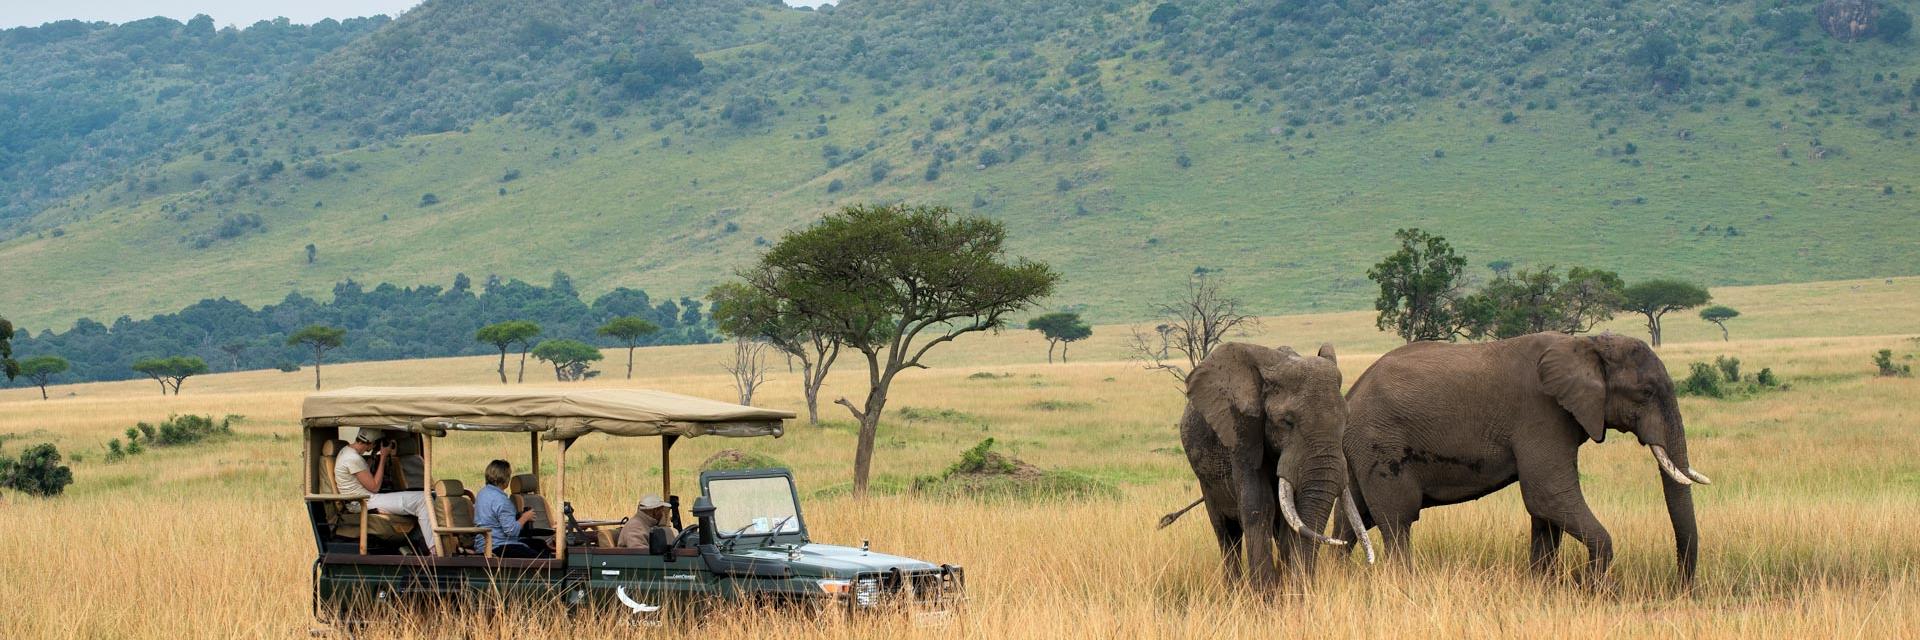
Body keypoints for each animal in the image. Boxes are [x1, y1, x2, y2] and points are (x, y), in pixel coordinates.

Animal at [1152, 342, 1382, 584]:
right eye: (1287, 422)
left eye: (1346, 420)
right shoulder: (1242, 431)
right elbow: (1258, 504)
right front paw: (1266, 593)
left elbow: (1291, 515)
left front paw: (1287, 589)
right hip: (1205, 479)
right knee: (1226, 533)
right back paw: (1234, 588)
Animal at [1336, 330, 1712, 580]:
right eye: (1645, 393)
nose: (1681, 588)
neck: (1585, 344)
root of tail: (1352, 393)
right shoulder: (1542, 412)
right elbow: (1548, 495)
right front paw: (1592, 589)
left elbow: (1546, 512)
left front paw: (1542, 586)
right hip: (1380, 443)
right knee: (1396, 521)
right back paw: (1404, 583)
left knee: (1352, 520)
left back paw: (1336, 576)